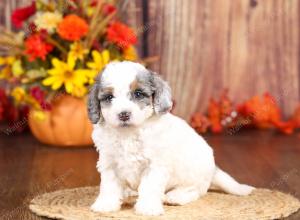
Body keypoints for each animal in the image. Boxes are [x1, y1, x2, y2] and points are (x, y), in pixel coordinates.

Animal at [88, 61, 254, 216]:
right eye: (109, 97)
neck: (128, 133)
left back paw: (175, 197)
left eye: (138, 94)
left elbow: (149, 187)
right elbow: (109, 186)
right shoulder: (109, 163)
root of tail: (214, 170)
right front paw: (105, 205)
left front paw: (148, 208)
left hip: (192, 172)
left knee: (195, 190)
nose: (124, 114)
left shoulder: (155, 165)